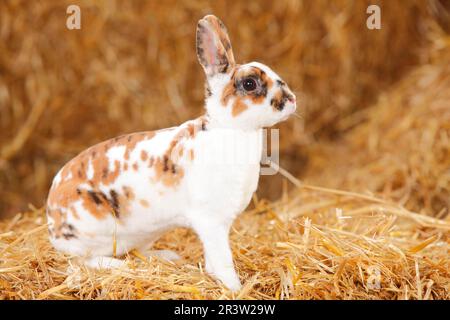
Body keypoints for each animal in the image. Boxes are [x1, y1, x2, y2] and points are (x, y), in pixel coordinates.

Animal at [47, 13, 298, 292]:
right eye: (250, 83)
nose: (291, 100)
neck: (230, 129)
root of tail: (51, 219)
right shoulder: (211, 222)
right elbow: (222, 259)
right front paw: (234, 288)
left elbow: (212, 260)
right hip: (96, 231)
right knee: (85, 262)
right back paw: (122, 267)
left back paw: (166, 257)